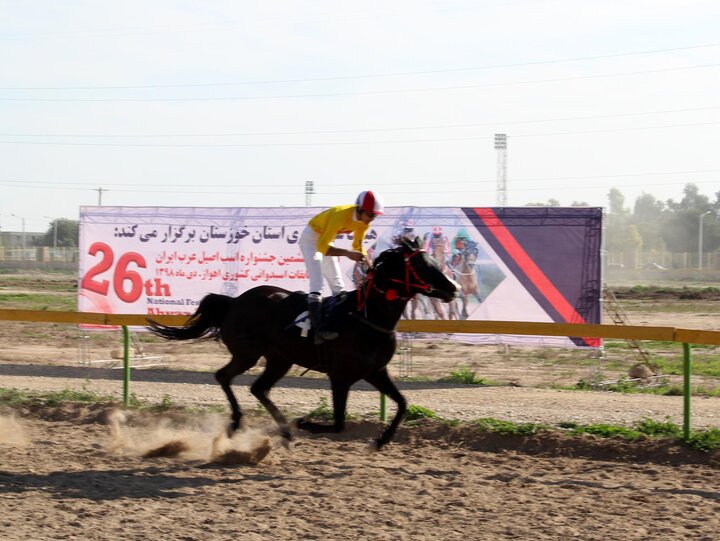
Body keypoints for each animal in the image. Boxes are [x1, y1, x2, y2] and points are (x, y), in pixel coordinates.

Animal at [148, 238, 456, 450]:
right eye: (421, 265)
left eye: (432, 261)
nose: (452, 288)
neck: (367, 318)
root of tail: (234, 301)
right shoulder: (340, 376)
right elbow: (339, 424)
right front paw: (304, 421)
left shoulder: (376, 372)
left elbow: (403, 403)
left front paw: (381, 440)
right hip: (248, 353)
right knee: (224, 376)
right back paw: (239, 422)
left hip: (280, 359)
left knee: (258, 388)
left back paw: (284, 431)